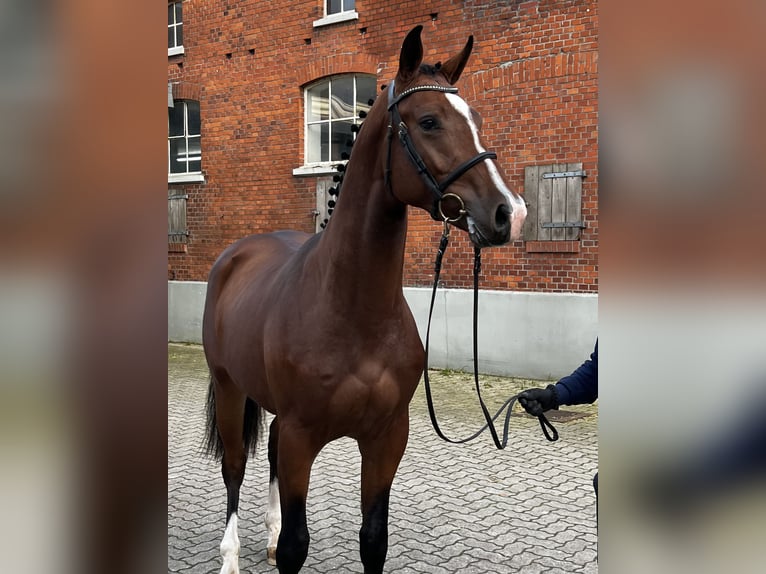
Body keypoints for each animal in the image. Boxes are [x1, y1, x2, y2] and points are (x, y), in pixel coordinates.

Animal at [202, 24, 528, 572]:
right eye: (429, 121)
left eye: (478, 120)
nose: (510, 213)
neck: (353, 312)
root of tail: (235, 254)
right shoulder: (302, 436)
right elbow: (296, 545)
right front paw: (271, 542)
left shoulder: (386, 438)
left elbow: (373, 538)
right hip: (229, 388)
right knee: (234, 466)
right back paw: (230, 556)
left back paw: (266, 532)